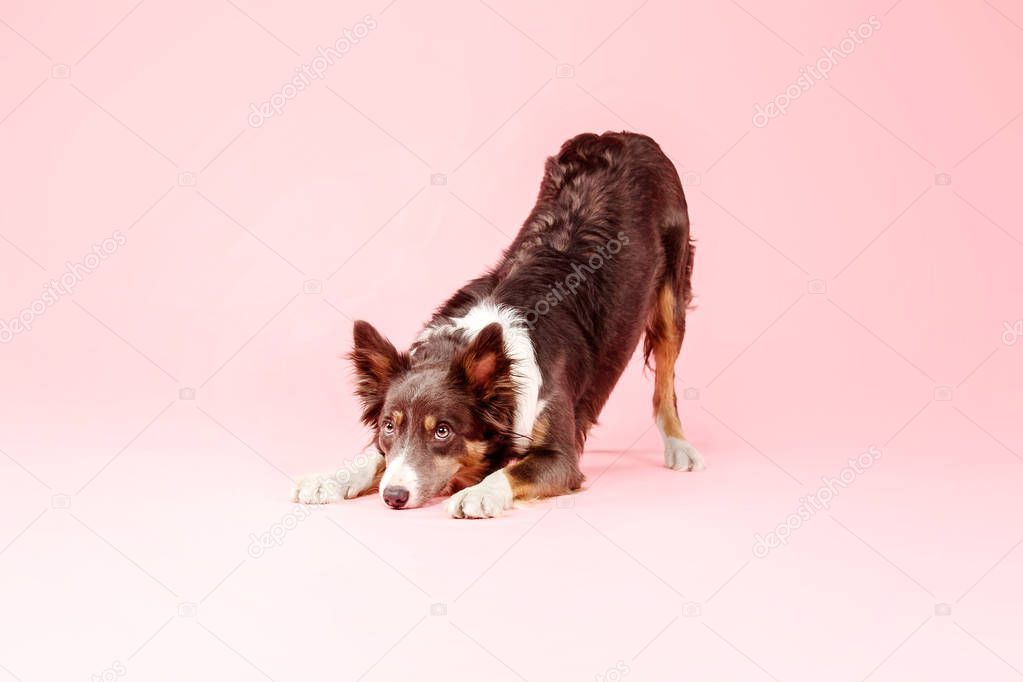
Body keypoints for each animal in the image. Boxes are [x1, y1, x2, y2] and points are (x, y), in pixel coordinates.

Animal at [292, 131, 699, 517]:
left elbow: (513, 470)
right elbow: (377, 457)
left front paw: (479, 494)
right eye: (389, 426)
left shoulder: (560, 459)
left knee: (665, 382)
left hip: (671, 295)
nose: (394, 497)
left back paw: (679, 446)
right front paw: (331, 478)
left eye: (443, 431)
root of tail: (624, 136)